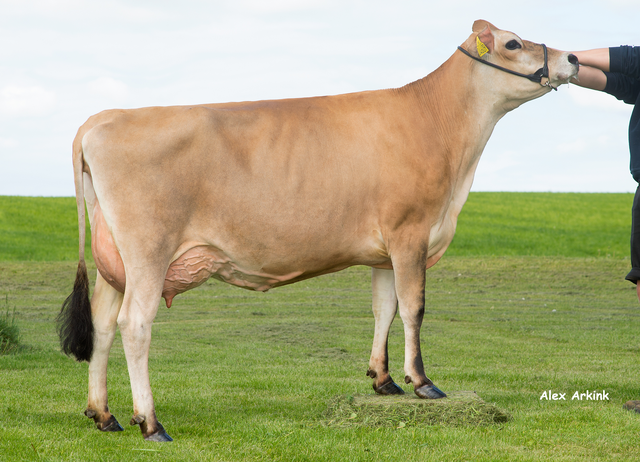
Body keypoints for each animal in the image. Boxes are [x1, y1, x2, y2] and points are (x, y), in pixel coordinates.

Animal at [57, 20, 579, 441]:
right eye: (513, 43)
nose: (573, 58)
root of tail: (102, 118)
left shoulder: (385, 249)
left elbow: (384, 308)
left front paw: (383, 380)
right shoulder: (410, 233)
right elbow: (414, 308)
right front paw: (423, 382)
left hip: (114, 260)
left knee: (102, 324)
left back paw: (103, 414)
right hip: (149, 250)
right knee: (134, 324)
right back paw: (151, 422)